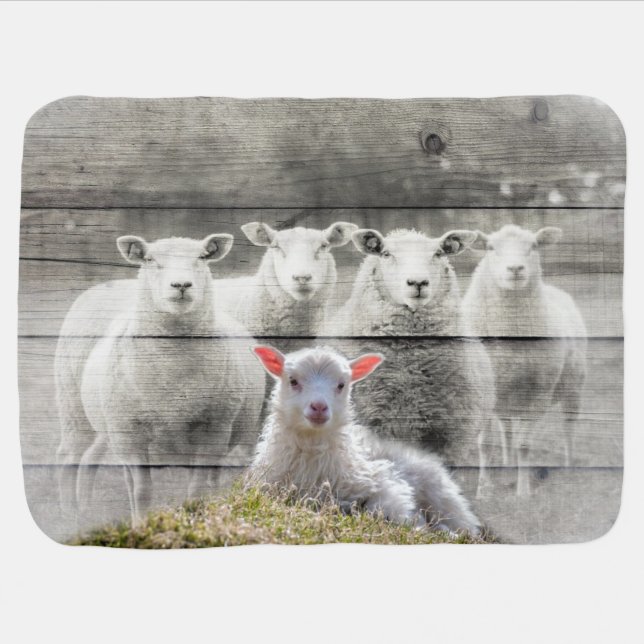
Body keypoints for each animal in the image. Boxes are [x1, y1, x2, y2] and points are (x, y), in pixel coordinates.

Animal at [55, 234, 265, 523]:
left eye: (202, 257)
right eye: (150, 259)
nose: (181, 285)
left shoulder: (214, 428)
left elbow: (196, 488)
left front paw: (195, 520)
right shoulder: (131, 433)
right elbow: (142, 491)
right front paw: (141, 524)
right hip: (79, 410)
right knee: (74, 457)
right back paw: (70, 514)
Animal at [249, 345, 480, 534]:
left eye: (341, 385)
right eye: (293, 381)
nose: (319, 407)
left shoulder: (385, 482)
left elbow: (385, 509)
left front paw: (418, 525)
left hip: (443, 498)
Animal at [461, 225, 587, 495]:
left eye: (534, 246)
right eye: (490, 248)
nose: (516, 269)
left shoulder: (538, 394)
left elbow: (525, 445)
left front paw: (523, 492)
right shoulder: (484, 393)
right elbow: (485, 444)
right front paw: (484, 489)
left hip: (573, 387)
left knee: (568, 428)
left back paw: (569, 468)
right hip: (505, 396)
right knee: (507, 429)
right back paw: (507, 467)